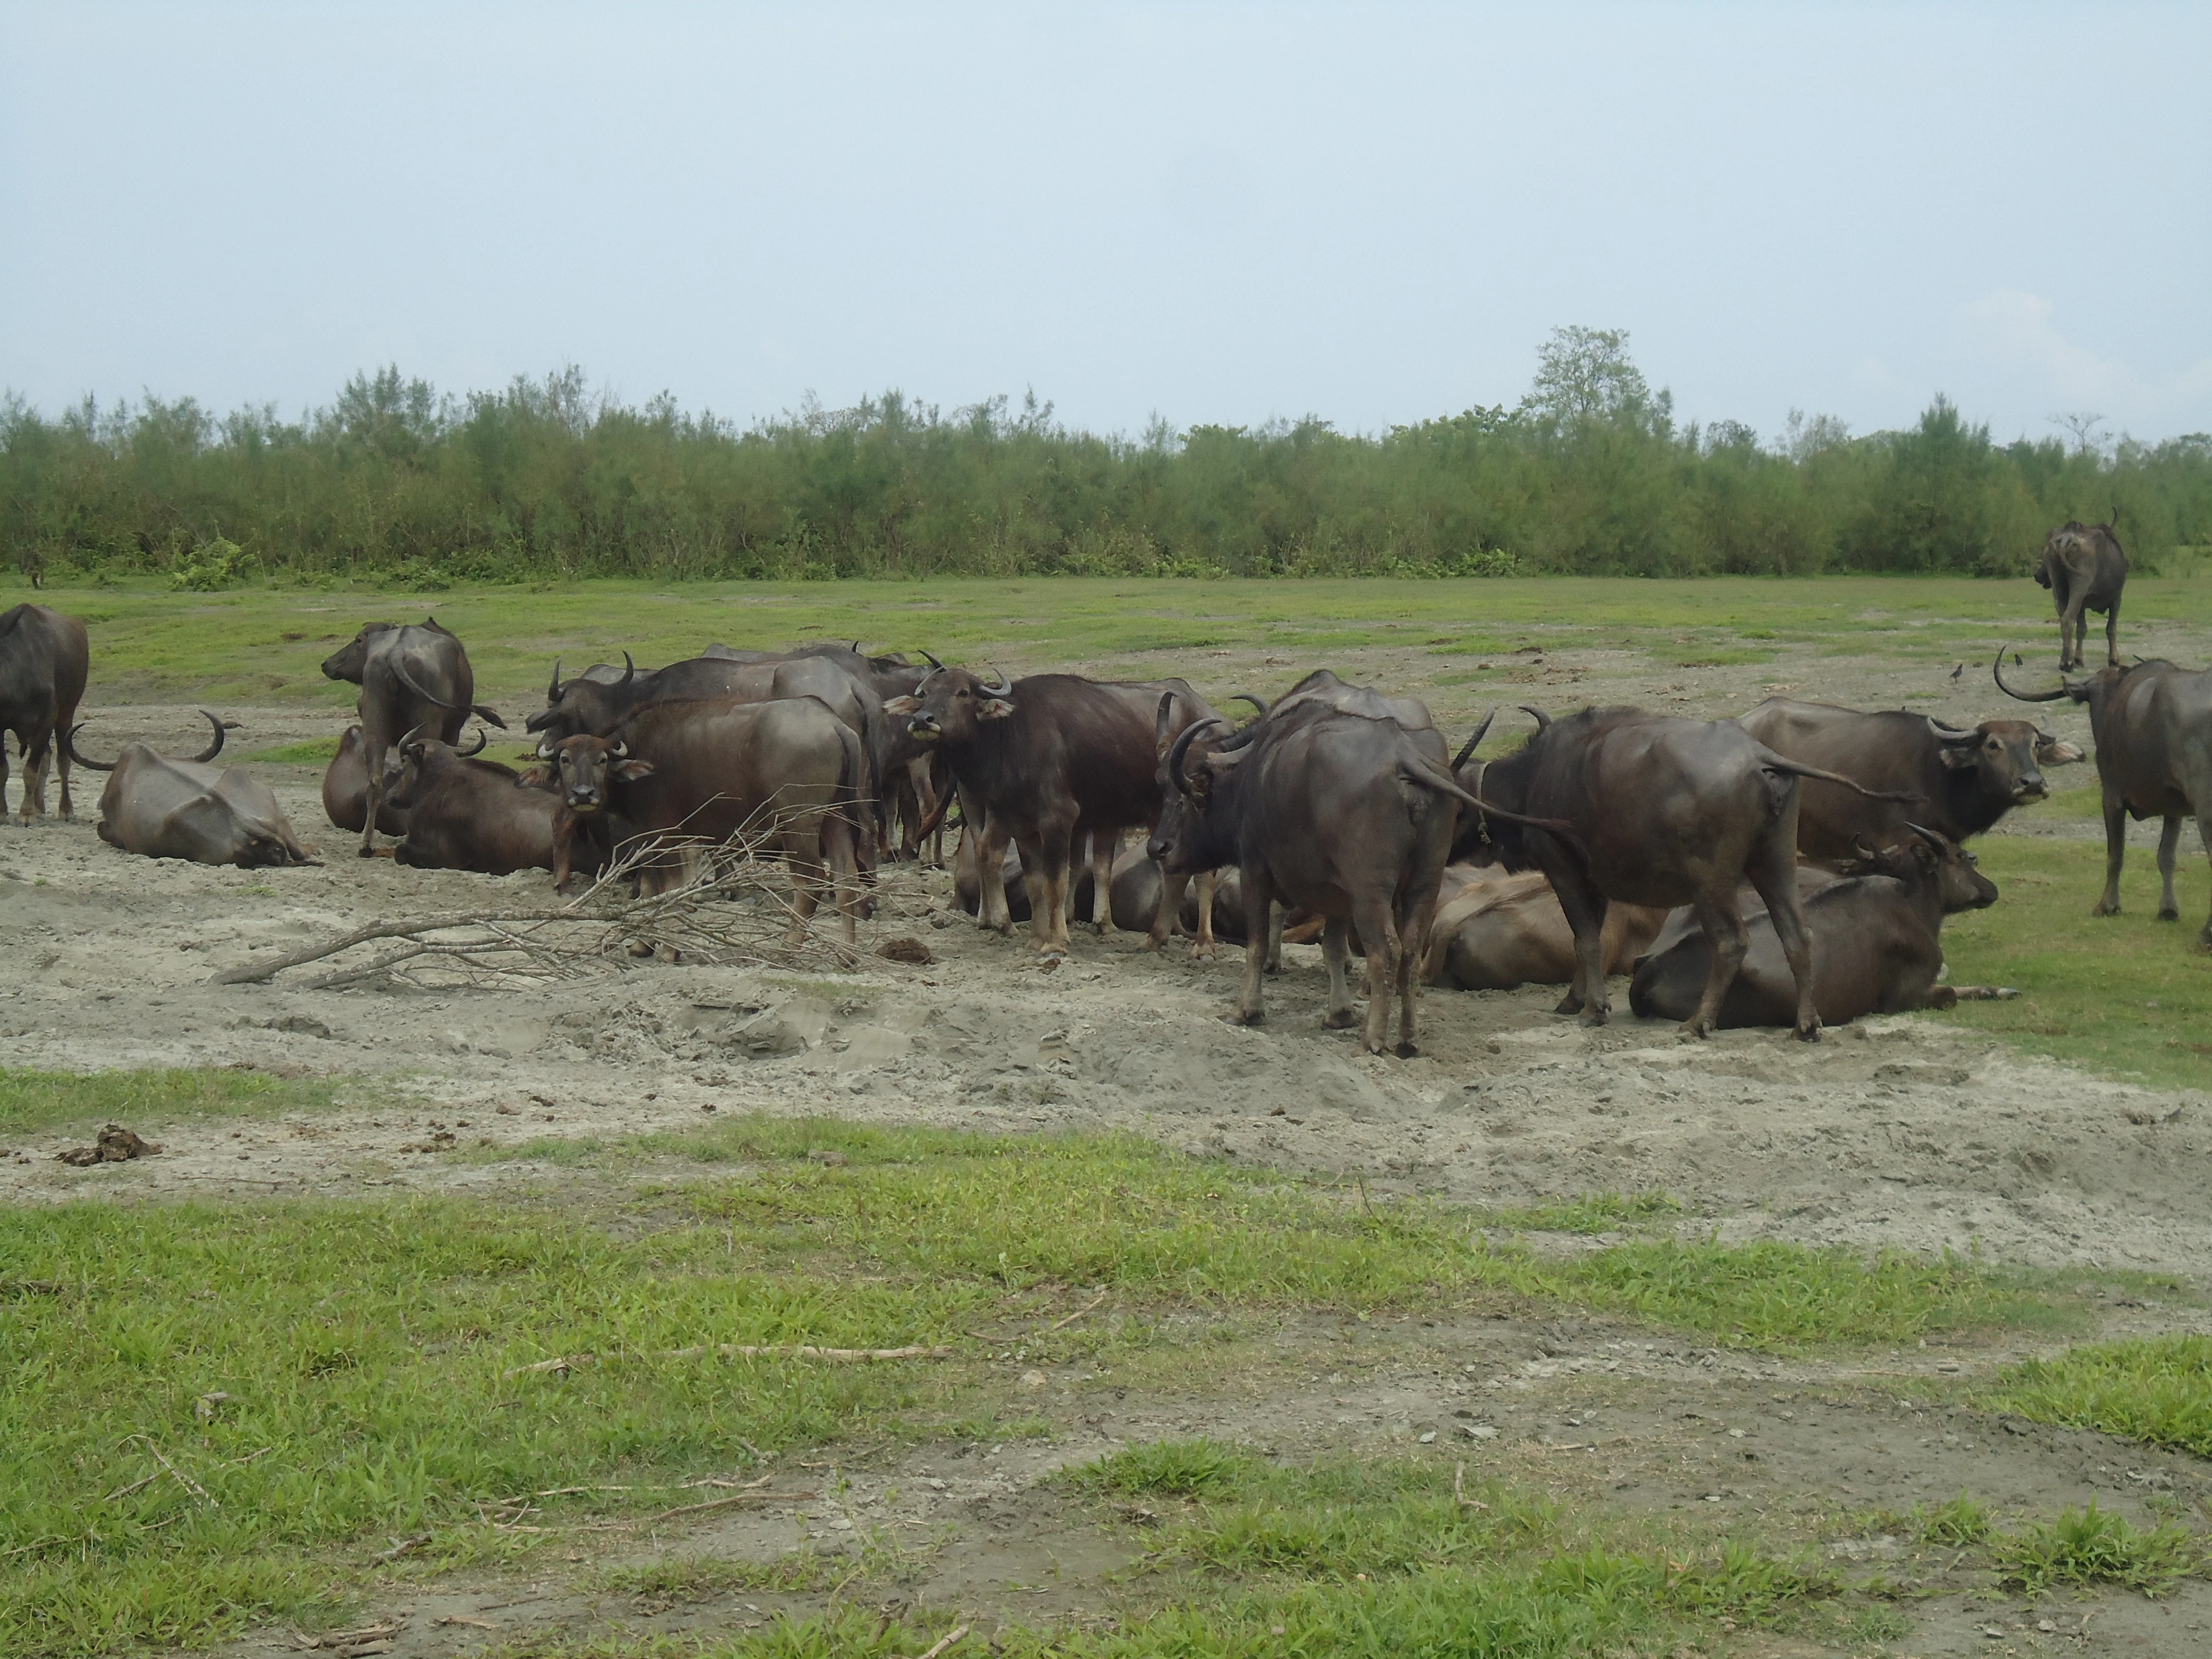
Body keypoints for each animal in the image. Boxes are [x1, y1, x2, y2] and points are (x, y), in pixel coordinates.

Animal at [0, 603, 89, 823]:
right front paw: (3, 811)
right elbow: (4, 769)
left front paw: (26, 814)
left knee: (63, 760)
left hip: (66, 713)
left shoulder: (46, 721)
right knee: (47, 756)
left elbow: (30, 770)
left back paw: (65, 809)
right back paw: (39, 806)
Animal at [321, 619, 504, 858]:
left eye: (359, 640)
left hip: (375, 725)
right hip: (427, 725)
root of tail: (395, 653)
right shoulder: (452, 733)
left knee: (375, 782)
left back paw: (366, 845)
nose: (327, 664)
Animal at [1629, 827, 1998, 1027]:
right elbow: (1949, 995)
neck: (1911, 904)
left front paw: (1995, 990)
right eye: (1960, 856)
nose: (1991, 889)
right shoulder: (1902, 997)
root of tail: (1653, 966)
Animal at [1997, 646, 2212, 943]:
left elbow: (2115, 855)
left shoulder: (2111, 797)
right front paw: (2168, 911)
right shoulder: (2173, 807)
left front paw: (2107, 906)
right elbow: (2166, 857)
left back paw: (2206, 935)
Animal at [2038, 516, 2128, 671]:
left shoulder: (2083, 605)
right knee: (2068, 618)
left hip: (2059, 586)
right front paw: (2114, 659)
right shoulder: (2117, 598)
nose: (2038, 575)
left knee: (2063, 617)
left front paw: (2079, 658)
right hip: (2079, 586)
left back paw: (2064, 661)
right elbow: (2111, 629)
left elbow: (2082, 629)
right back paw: (2067, 664)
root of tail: (2067, 538)